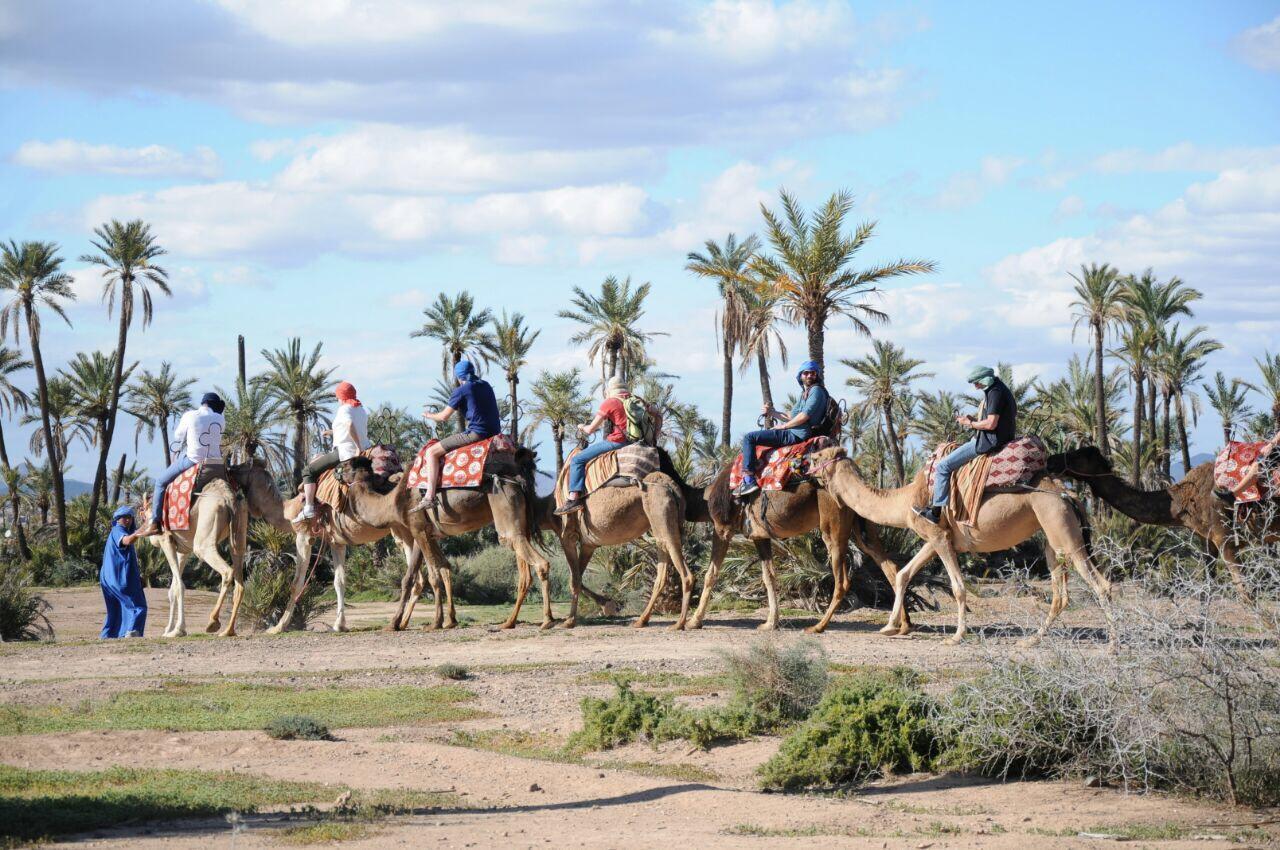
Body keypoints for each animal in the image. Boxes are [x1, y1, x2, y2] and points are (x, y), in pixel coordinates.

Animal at [141, 471, 248, 637]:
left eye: (143, 516)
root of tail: (229, 498)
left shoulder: (166, 540)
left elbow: (179, 586)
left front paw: (177, 630)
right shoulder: (183, 550)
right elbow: (173, 589)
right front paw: (169, 629)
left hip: (203, 542)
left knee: (226, 571)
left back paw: (213, 622)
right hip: (239, 534)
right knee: (240, 582)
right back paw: (228, 631)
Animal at [798, 448, 1111, 640]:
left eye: (820, 455)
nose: (804, 460)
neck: (905, 499)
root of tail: (1068, 494)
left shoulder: (938, 537)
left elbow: (959, 587)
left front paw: (958, 636)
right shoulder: (936, 536)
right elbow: (903, 574)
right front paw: (889, 627)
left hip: (1061, 527)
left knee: (1101, 584)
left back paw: (1112, 647)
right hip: (1051, 537)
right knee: (1061, 593)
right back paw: (1031, 641)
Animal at [1044, 445, 1274, 596]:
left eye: (1077, 454)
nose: (1051, 460)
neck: (1183, 502)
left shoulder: (1224, 537)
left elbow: (1245, 592)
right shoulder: (1207, 540)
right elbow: (1207, 590)